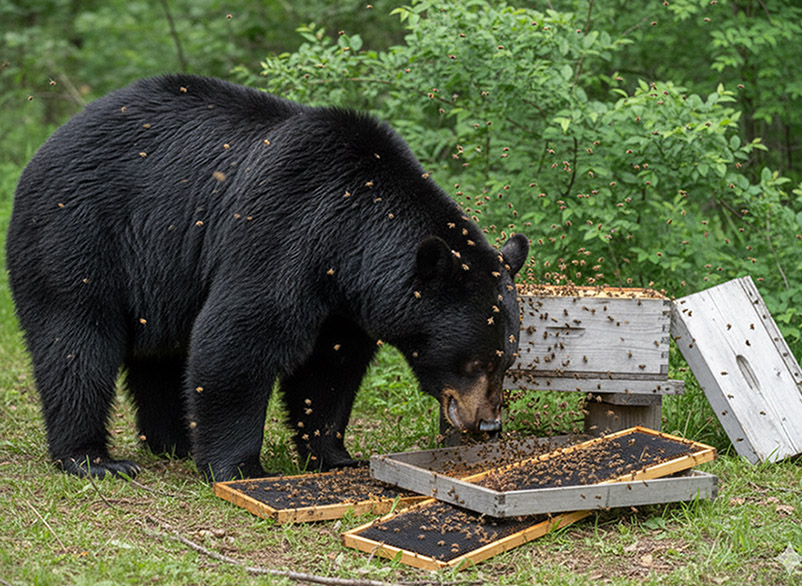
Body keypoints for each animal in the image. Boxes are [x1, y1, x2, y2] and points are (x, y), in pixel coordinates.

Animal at [6, 74, 529, 482]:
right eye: (474, 362)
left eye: (506, 361)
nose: (487, 424)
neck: (353, 230)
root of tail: (49, 142)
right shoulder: (286, 229)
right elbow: (239, 339)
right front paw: (238, 466)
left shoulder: (344, 302)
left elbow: (329, 368)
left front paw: (335, 455)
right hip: (79, 233)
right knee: (76, 341)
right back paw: (93, 458)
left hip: (158, 274)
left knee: (161, 357)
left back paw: (174, 440)